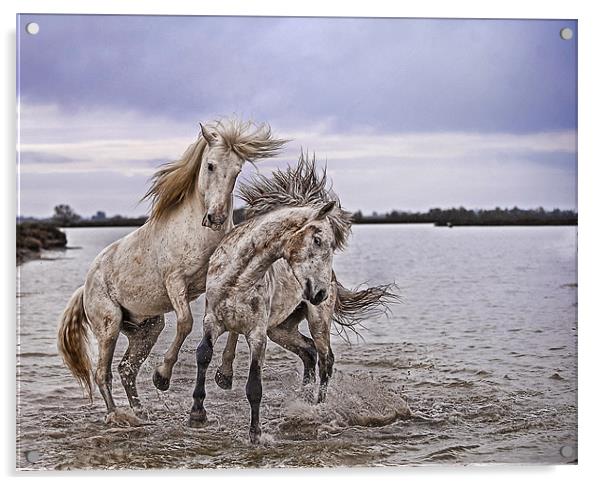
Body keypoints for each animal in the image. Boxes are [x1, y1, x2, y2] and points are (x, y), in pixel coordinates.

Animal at [57, 118, 284, 424]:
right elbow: (186, 323)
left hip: (147, 329)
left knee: (126, 368)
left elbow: (230, 327)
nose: (216, 217)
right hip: (109, 326)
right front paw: (162, 377)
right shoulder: (175, 282)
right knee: (102, 373)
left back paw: (140, 413)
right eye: (210, 165)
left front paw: (224, 376)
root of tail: (84, 288)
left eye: (237, 171)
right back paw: (118, 416)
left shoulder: (219, 286)